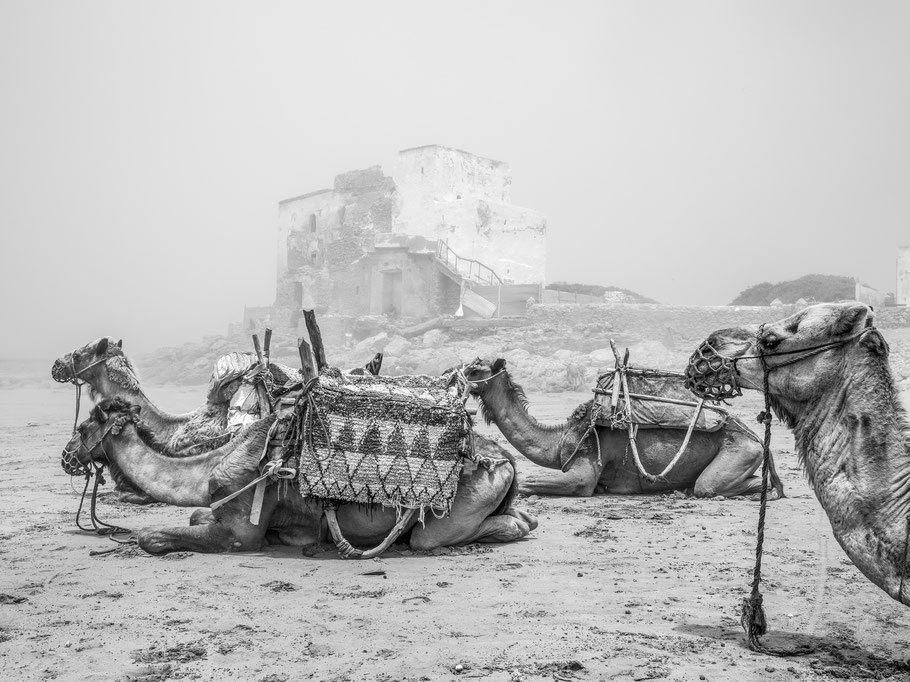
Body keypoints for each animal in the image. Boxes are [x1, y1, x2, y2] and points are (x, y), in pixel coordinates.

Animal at [64, 398, 536, 552]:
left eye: (84, 426)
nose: (67, 455)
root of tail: (505, 460)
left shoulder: (241, 531)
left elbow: (152, 537)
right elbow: (198, 515)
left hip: (449, 514)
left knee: (439, 536)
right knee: (525, 518)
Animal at [460, 358, 788, 496]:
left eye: (475, 369)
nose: (453, 372)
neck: (563, 437)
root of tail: (758, 438)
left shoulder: (585, 464)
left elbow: (531, 484)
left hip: (740, 451)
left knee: (709, 486)